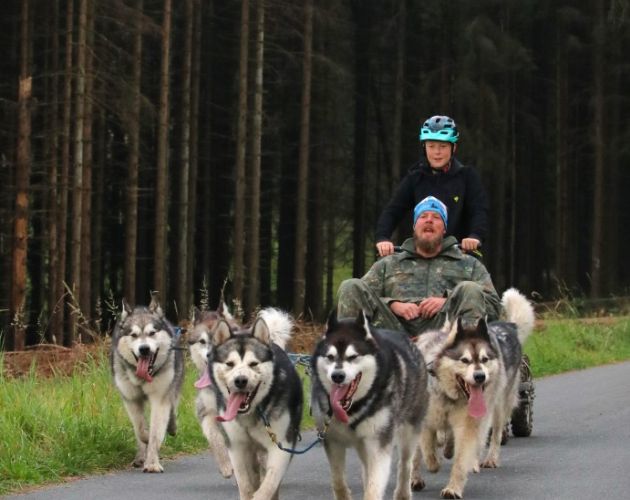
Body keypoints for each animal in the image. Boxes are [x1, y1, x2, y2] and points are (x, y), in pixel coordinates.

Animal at [110, 296, 184, 472]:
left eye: (152, 333)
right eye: (134, 335)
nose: (144, 349)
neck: (143, 378)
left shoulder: (160, 398)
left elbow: (156, 433)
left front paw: (152, 464)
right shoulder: (131, 399)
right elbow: (140, 430)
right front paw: (145, 441)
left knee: (172, 408)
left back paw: (171, 427)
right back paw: (139, 457)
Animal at [199, 306, 304, 498]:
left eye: (253, 363)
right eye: (229, 364)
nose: (240, 380)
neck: (251, 413)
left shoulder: (281, 445)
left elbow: (268, 485)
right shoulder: (237, 447)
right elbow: (245, 484)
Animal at [312, 308, 432, 500]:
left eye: (353, 356)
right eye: (330, 357)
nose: (337, 376)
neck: (352, 409)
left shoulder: (378, 444)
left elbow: (374, 487)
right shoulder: (332, 441)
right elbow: (338, 481)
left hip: (409, 430)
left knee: (405, 463)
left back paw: (403, 493)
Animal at [418, 288, 536, 498]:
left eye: (485, 359)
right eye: (464, 360)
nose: (480, 376)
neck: (449, 393)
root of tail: (508, 326)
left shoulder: (468, 422)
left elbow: (462, 455)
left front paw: (453, 488)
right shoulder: (426, 419)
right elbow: (427, 447)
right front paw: (432, 462)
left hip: (498, 407)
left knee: (493, 435)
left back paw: (487, 459)